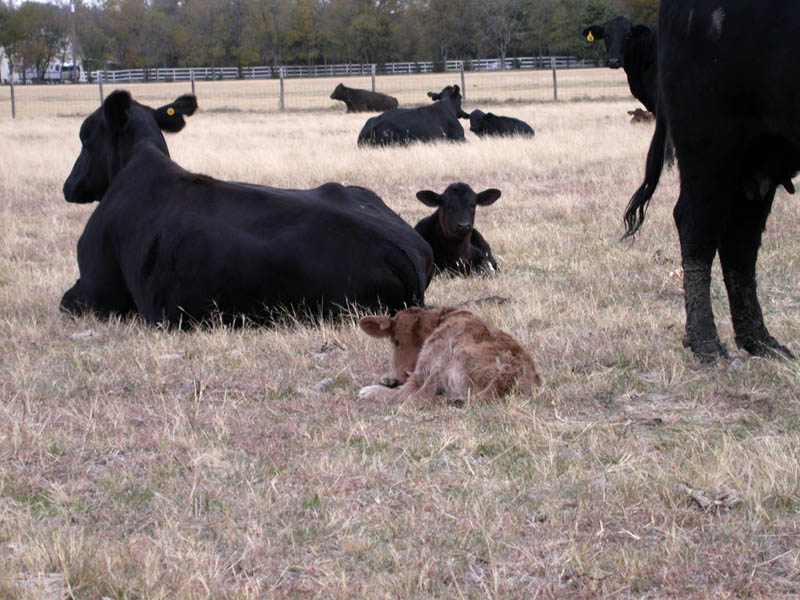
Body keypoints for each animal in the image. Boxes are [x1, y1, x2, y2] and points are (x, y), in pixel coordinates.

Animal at [358, 306, 541, 405]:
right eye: (396, 341)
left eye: (425, 339)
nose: (407, 372)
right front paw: (388, 378)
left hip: (447, 359)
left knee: (412, 397)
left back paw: (370, 391)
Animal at [623, 0, 799, 361]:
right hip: (710, 142)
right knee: (697, 224)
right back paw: (706, 343)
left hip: (758, 159)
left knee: (740, 238)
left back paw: (760, 341)